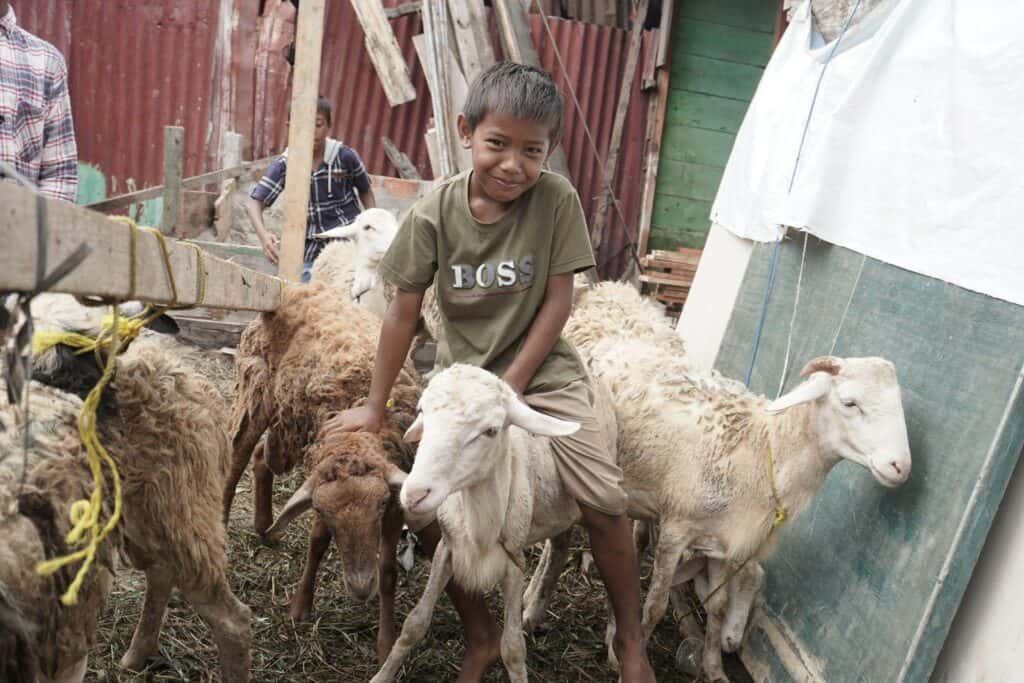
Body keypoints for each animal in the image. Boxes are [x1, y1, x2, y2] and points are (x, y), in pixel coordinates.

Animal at [224, 282, 419, 663]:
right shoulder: (320, 485)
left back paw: (265, 527)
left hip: (284, 425)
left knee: (262, 458)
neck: (354, 434)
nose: (361, 588)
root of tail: (295, 288)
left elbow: (388, 572)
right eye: (326, 514)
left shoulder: (394, 504)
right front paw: (300, 607)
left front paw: (386, 643)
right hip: (256, 387)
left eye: (378, 508)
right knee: (236, 458)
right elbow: (316, 544)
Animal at [368, 366, 610, 679]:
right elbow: (414, 624)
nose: (414, 494)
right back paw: (535, 608)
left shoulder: (514, 562)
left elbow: (513, 649)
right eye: (422, 412)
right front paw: (382, 675)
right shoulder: (447, 549)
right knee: (559, 545)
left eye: (491, 431)